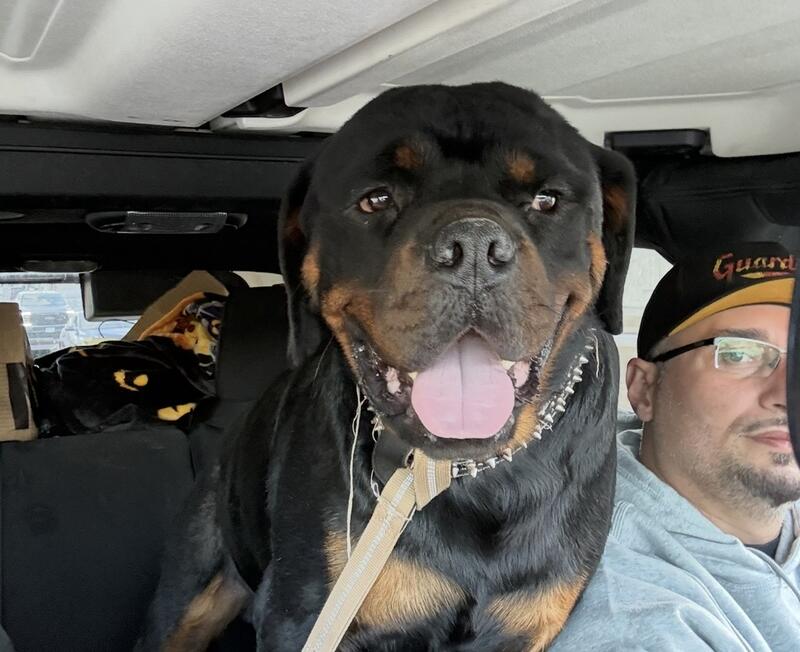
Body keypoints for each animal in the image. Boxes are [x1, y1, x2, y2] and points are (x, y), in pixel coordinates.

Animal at [136, 82, 635, 652]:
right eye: (376, 199)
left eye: (547, 199)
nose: (473, 249)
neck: (462, 476)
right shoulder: (304, 613)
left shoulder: (526, 625)